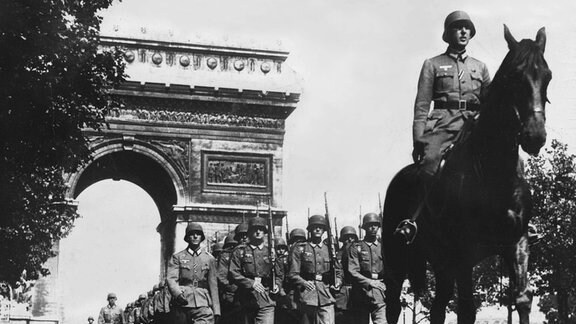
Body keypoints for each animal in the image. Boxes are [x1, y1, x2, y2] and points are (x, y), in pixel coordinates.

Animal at [382, 26, 548, 324]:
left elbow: (522, 299)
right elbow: (467, 309)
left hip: (441, 263)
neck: (495, 176)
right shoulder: (463, 254)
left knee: (438, 306)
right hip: (398, 258)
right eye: (514, 77)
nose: (535, 136)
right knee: (392, 305)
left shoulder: (517, 244)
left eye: (547, 76)